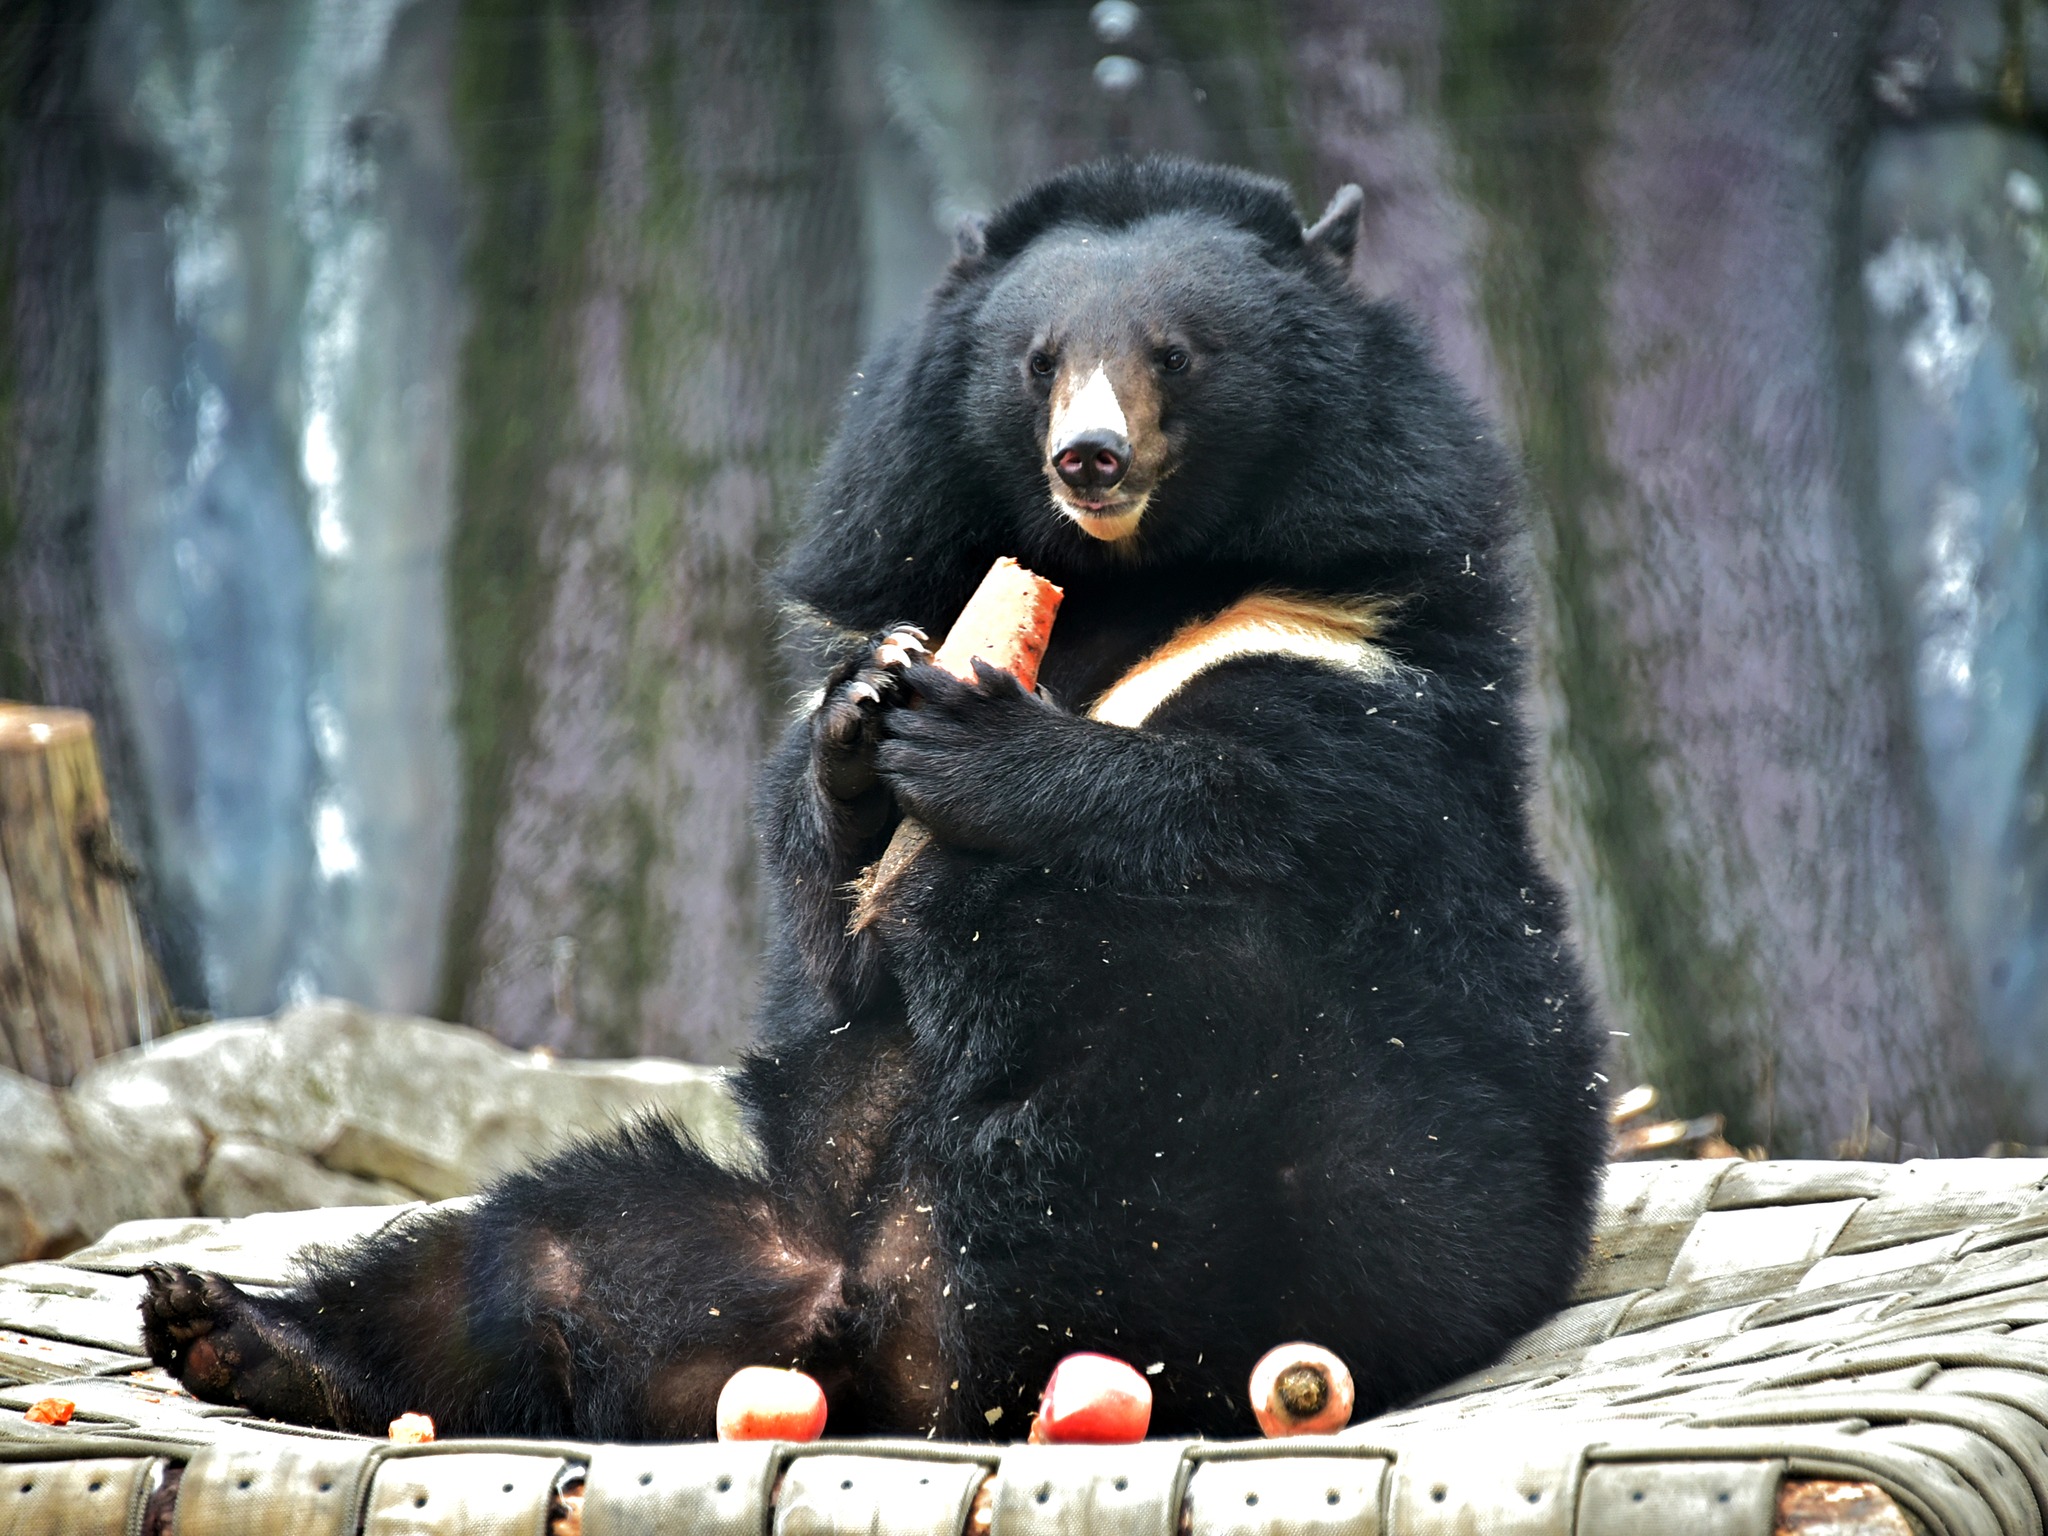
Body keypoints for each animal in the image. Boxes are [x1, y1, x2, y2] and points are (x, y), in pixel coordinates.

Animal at [144, 156, 1613, 1441]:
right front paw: (864, 719)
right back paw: (236, 1333)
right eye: (1038, 363)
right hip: (723, 1239)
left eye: (1174, 355)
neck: (1125, 586)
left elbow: (1246, 804)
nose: (1089, 459)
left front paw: (976, 744)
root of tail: (869, 1326)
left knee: (1152, 1007)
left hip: (1287, 1209)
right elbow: (830, 929)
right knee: (516, 1256)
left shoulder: (1346, 655)